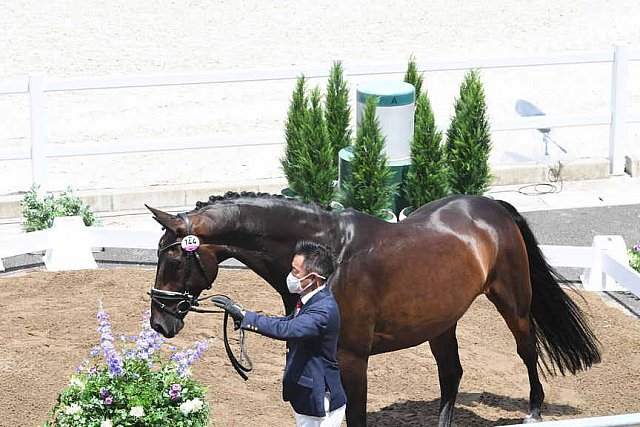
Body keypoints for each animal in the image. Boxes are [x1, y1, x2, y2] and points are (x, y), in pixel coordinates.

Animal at [148, 194, 604, 427]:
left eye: (172, 258)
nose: (160, 322)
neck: (331, 252)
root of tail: (491, 205)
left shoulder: (352, 359)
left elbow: (355, 417)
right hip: (441, 321)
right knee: (451, 374)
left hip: (513, 302)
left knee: (527, 352)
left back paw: (534, 411)